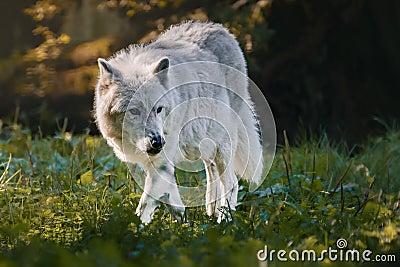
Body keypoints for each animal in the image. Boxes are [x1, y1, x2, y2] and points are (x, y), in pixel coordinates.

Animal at [93, 21, 262, 223]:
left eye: (159, 109)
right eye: (134, 111)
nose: (158, 142)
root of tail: (221, 29)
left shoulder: (162, 159)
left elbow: (145, 205)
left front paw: (137, 228)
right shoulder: (158, 161)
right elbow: (171, 198)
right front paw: (181, 223)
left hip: (223, 145)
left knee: (232, 183)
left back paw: (224, 221)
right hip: (204, 143)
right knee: (212, 172)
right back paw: (211, 212)